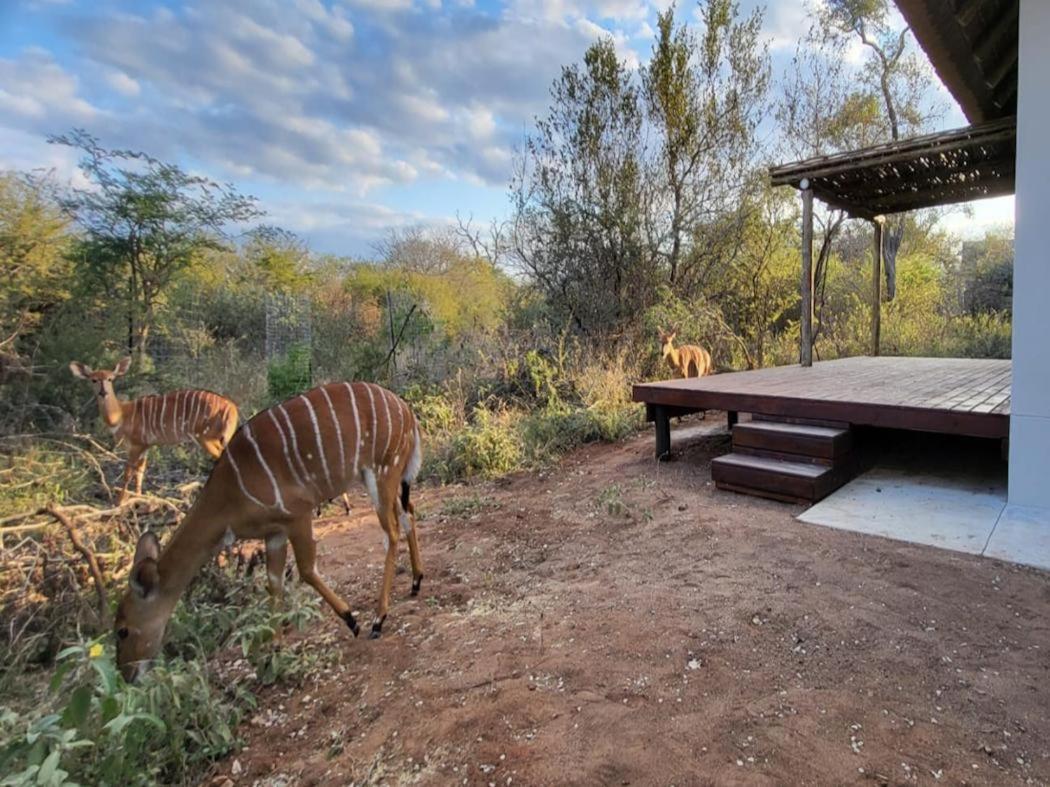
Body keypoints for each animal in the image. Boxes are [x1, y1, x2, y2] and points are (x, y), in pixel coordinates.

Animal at [70, 356, 239, 501]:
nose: (103, 392)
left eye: (110, 379)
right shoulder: (145, 446)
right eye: (94, 380)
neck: (121, 415)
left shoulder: (136, 445)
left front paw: (120, 502)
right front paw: (138, 497)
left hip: (206, 437)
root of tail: (231, 408)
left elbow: (128, 472)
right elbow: (140, 472)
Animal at [113, 381, 422, 684]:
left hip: (381, 473)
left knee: (392, 532)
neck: (229, 493)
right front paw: (274, 650)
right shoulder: (274, 533)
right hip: (389, 479)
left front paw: (352, 620)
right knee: (409, 513)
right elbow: (274, 583)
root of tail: (406, 411)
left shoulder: (298, 514)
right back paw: (416, 582)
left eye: (122, 630)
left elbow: (306, 570)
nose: (126, 675)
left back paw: (378, 619)